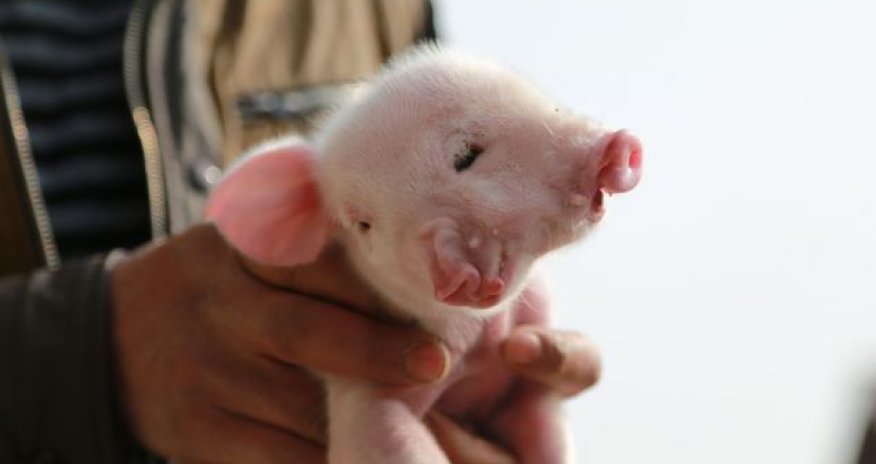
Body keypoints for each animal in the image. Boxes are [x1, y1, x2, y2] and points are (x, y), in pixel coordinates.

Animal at [204, 44, 642, 464]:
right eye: (363, 225)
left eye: (466, 154)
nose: (453, 269)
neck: (478, 343)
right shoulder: (361, 385)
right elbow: (378, 434)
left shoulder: (529, 367)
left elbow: (549, 436)